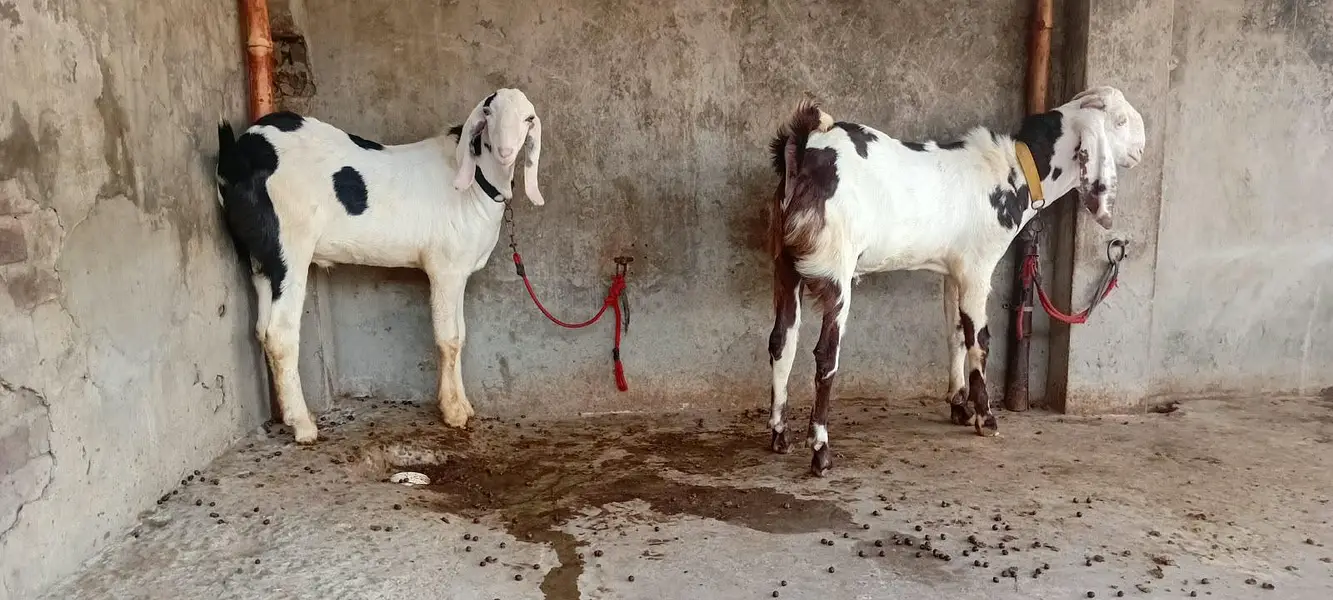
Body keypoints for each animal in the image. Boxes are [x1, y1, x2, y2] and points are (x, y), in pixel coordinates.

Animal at [215, 88, 545, 443]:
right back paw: (303, 425)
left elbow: (461, 334)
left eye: (528, 118)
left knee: (262, 329)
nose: (505, 152)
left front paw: (464, 406)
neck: (473, 185)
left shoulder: (459, 271)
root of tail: (238, 156)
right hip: (288, 244)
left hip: (260, 256)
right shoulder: (445, 267)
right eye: (488, 112)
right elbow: (449, 337)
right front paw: (453, 413)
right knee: (280, 332)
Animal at [765, 86, 1146, 476]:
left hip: (785, 265)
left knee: (782, 340)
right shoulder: (979, 268)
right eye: (1119, 121)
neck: (1015, 170)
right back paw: (821, 450)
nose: (1142, 148)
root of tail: (806, 146)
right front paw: (986, 417)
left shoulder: (953, 272)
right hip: (836, 270)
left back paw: (780, 435)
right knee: (826, 355)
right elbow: (980, 339)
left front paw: (959, 405)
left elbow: (956, 334)